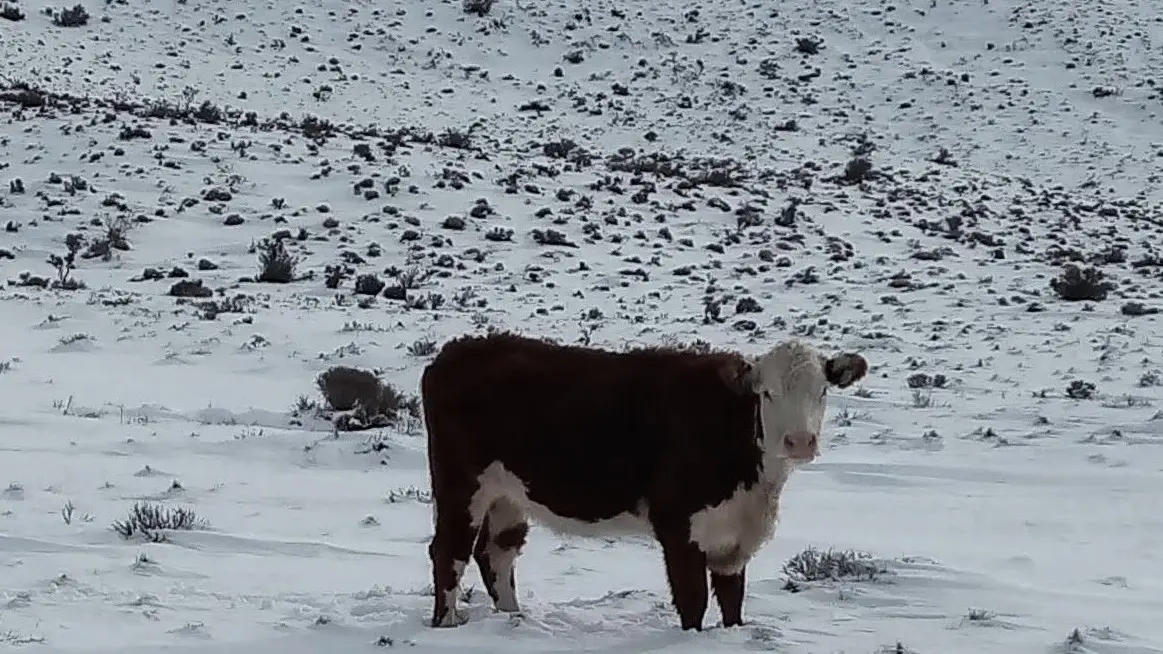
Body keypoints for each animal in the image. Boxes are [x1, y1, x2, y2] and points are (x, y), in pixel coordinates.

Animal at [418, 332, 865, 628]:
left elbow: (732, 601)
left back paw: (514, 618)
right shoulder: (678, 524)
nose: (800, 441)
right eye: (767, 393)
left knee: (496, 552)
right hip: (461, 484)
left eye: (823, 391)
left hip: (508, 493)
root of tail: (456, 350)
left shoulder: (734, 538)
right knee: (449, 552)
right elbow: (692, 599)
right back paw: (447, 622)